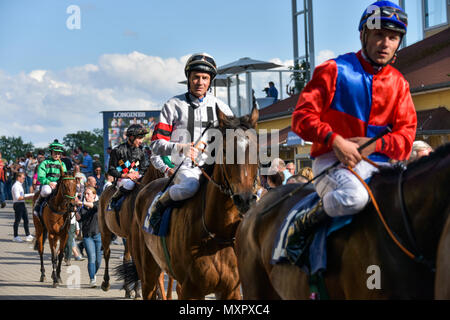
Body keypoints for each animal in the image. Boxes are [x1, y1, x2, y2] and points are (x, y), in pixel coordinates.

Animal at [124, 106, 260, 298]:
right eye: (225, 151)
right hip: (147, 270)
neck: (217, 234)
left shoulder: (231, 290)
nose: (245, 199)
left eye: (257, 150)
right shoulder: (191, 289)